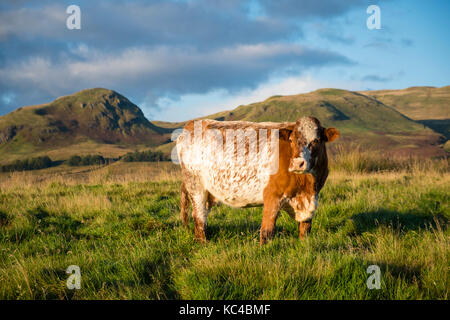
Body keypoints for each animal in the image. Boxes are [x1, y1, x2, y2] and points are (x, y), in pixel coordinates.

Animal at [176, 116, 338, 244]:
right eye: (291, 140)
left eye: (316, 140)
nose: (298, 163)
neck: (307, 187)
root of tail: (192, 124)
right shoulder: (272, 197)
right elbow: (267, 231)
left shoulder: (310, 201)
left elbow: (305, 229)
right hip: (196, 187)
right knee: (199, 217)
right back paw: (203, 243)